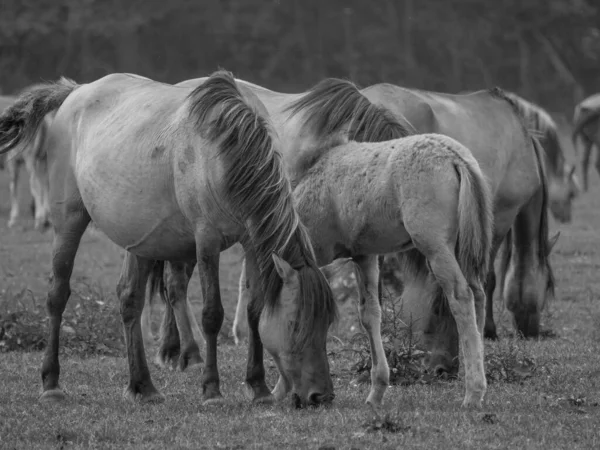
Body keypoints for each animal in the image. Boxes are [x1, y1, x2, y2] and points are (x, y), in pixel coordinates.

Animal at [0, 93, 52, 230]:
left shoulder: (12, 162)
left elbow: (14, 187)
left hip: (30, 158)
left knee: (36, 184)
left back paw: (40, 220)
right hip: (42, 158)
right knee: (45, 184)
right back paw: (47, 218)